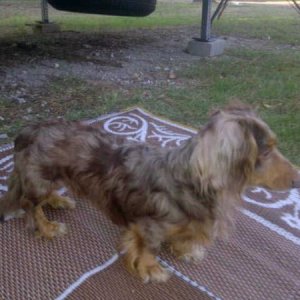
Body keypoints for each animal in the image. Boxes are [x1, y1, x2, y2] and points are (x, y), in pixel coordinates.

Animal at [0, 103, 300, 282]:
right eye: (266, 151)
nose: (297, 179)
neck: (188, 181)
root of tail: (29, 130)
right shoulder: (145, 227)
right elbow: (146, 248)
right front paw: (151, 268)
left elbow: (182, 236)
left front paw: (186, 249)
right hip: (40, 179)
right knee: (30, 205)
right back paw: (47, 227)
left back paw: (59, 199)